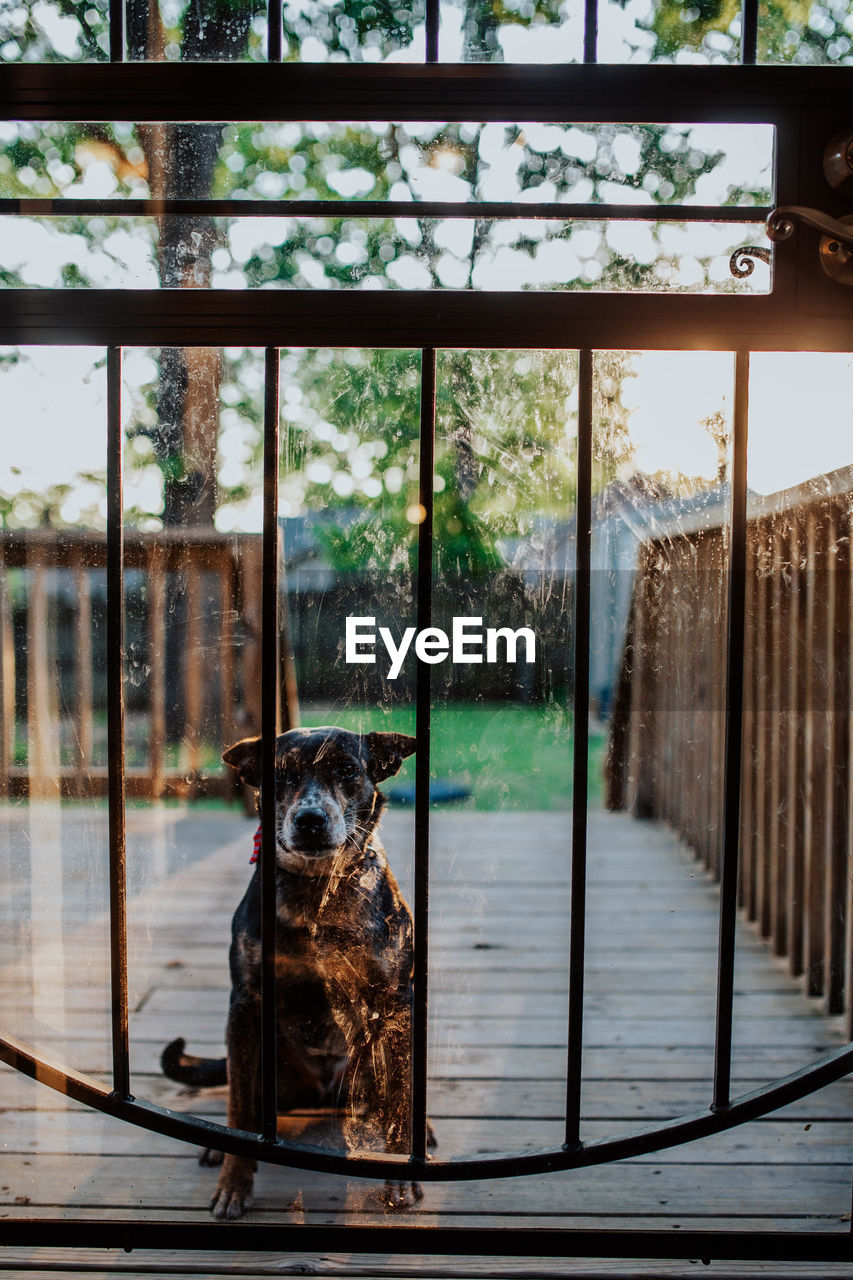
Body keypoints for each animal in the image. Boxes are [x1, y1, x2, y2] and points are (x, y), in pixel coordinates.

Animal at [158, 727, 425, 1213]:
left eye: (347, 769)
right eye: (280, 775)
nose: (311, 818)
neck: (317, 889)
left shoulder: (397, 1004)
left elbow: (401, 1095)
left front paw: (400, 1172)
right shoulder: (246, 1004)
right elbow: (240, 1105)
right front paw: (234, 1182)